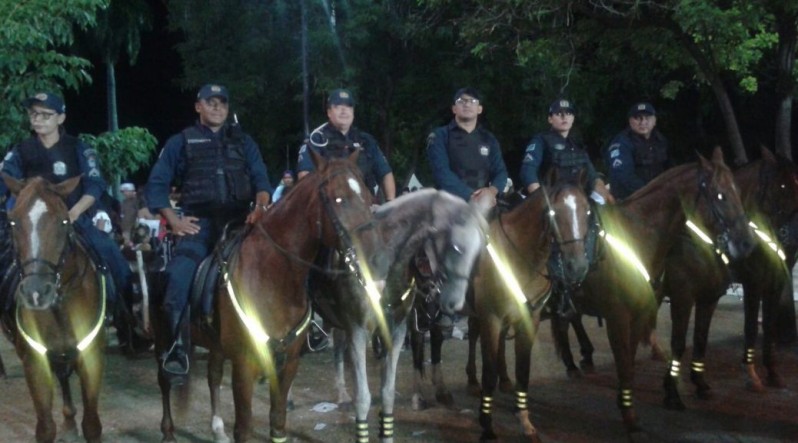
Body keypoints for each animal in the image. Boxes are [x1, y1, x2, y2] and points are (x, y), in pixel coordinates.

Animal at [0, 175, 107, 443]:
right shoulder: (35, 362)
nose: (36, 292)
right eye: (13, 221)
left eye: (64, 221)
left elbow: (92, 425)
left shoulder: (91, 356)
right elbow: (46, 428)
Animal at [154, 150, 383, 443]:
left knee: (213, 376)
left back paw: (217, 431)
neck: (273, 278)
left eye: (367, 196)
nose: (374, 257)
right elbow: (244, 428)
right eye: (337, 198)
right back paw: (168, 431)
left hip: (216, 345)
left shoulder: (287, 363)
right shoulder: (244, 366)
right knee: (164, 381)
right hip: (162, 339)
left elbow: (278, 420)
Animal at [317, 188, 489, 443]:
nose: (454, 304)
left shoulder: (397, 331)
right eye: (455, 247)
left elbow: (388, 392)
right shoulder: (359, 331)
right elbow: (364, 397)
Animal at [466, 174, 593, 442]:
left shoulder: (528, 317)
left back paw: (500, 379)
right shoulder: (490, 317)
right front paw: (487, 426)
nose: (577, 266)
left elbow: (523, 369)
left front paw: (524, 420)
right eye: (553, 212)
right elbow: (488, 372)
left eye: (587, 210)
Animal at [659, 147, 798, 409]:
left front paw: (773, 373)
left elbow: (769, 328)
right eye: (783, 186)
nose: (794, 235)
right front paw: (752, 375)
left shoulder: (774, 285)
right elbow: (751, 328)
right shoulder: (753, 285)